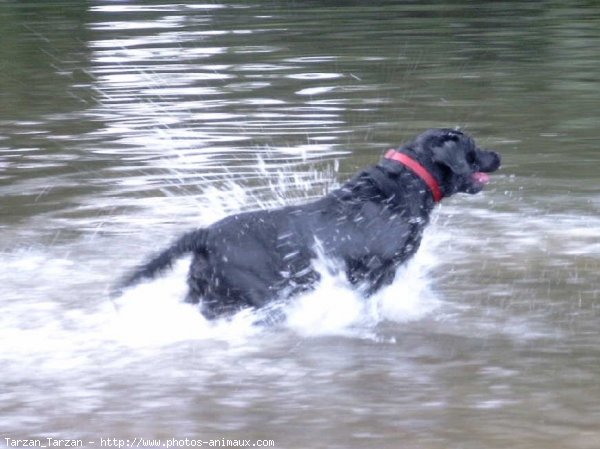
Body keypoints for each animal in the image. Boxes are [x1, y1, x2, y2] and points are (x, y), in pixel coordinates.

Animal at [119, 128, 500, 316]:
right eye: (473, 147)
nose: (498, 155)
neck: (403, 187)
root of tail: (205, 235)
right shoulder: (372, 273)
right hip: (260, 292)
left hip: (206, 292)